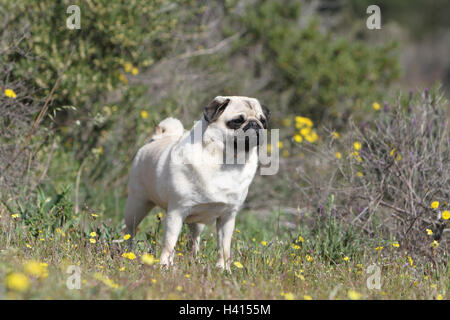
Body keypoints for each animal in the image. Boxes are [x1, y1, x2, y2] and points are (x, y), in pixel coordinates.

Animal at [124, 95, 270, 270]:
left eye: (263, 121)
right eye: (237, 121)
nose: (255, 124)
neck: (226, 161)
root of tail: (157, 138)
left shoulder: (228, 216)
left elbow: (224, 248)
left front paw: (224, 269)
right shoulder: (177, 212)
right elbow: (169, 243)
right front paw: (165, 266)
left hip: (196, 221)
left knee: (195, 241)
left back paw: (195, 260)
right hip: (137, 205)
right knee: (129, 231)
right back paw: (127, 253)